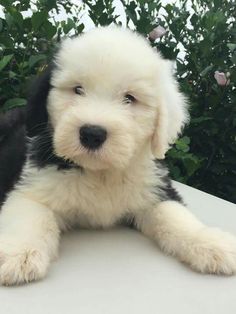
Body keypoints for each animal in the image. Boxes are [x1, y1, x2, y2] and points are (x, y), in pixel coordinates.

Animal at [0, 27, 236, 284]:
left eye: (129, 98)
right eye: (78, 89)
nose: (92, 134)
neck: (101, 172)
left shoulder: (155, 189)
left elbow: (176, 216)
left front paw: (212, 243)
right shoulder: (33, 188)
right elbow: (28, 218)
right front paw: (18, 253)